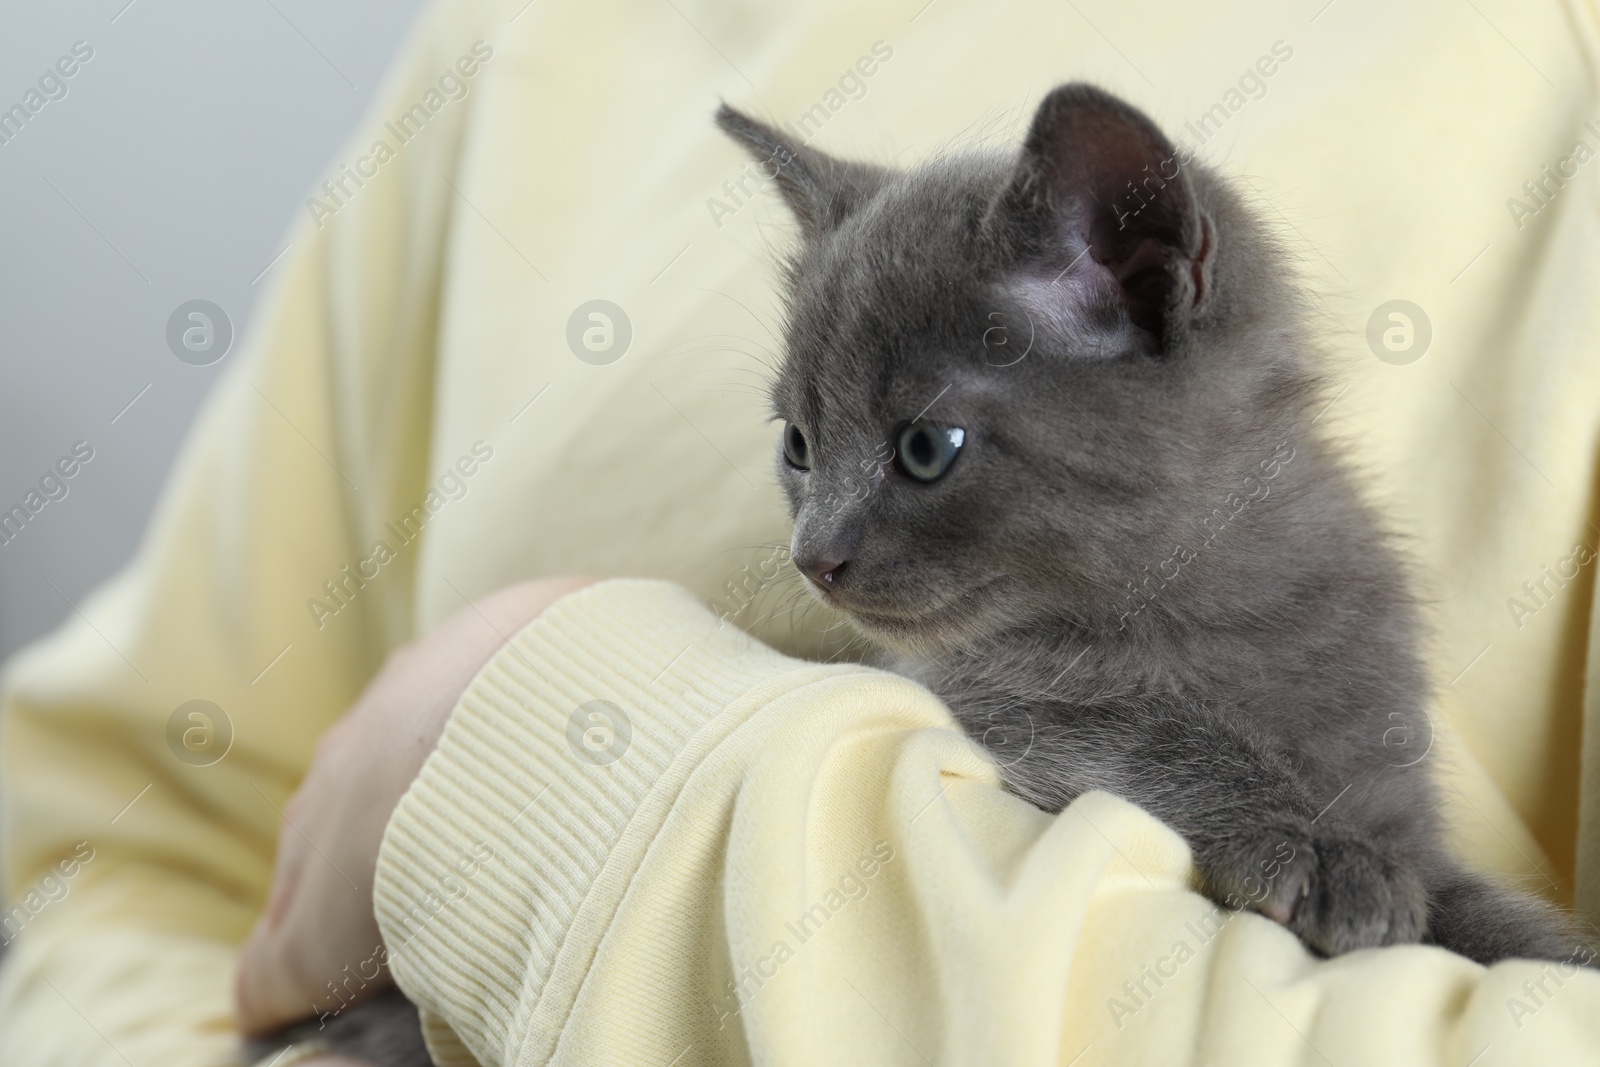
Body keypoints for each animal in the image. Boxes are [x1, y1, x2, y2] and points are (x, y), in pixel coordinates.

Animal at [726, 83, 1600, 966]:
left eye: (926, 448)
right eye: (799, 444)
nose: (812, 555)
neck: (1219, 607)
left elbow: (1492, 921)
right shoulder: (993, 702)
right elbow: (1143, 737)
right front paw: (1319, 844)